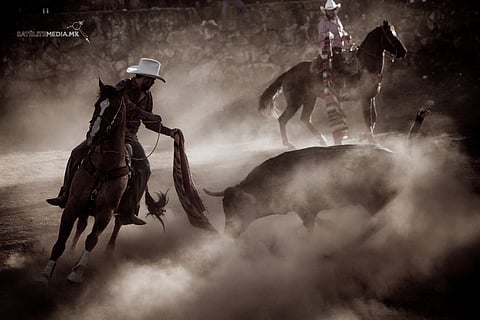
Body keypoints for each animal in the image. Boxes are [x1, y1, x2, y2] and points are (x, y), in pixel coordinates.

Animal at [204, 144, 400, 236]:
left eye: (239, 208)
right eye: (224, 208)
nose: (229, 233)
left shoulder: (306, 211)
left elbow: (310, 229)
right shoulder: (306, 211)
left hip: (372, 201)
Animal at [260, 20, 406, 148]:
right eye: (391, 35)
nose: (404, 52)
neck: (364, 66)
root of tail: (287, 73)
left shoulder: (371, 98)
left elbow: (374, 119)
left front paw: (364, 137)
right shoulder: (364, 99)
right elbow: (368, 120)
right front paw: (371, 141)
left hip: (310, 99)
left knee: (305, 118)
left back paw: (322, 140)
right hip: (295, 101)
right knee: (282, 119)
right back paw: (288, 144)